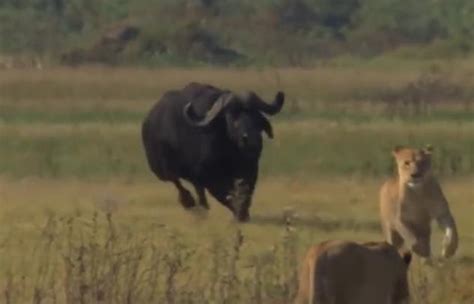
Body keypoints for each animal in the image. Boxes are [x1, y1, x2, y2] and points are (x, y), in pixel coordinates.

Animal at [142, 83, 286, 221]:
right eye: (231, 116)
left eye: (255, 114)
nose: (250, 138)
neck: (230, 151)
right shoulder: (207, 175)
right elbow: (223, 193)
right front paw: (238, 211)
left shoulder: (251, 168)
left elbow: (246, 190)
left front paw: (243, 211)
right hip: (161, 170)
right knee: (177, 182)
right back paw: (191, 203)